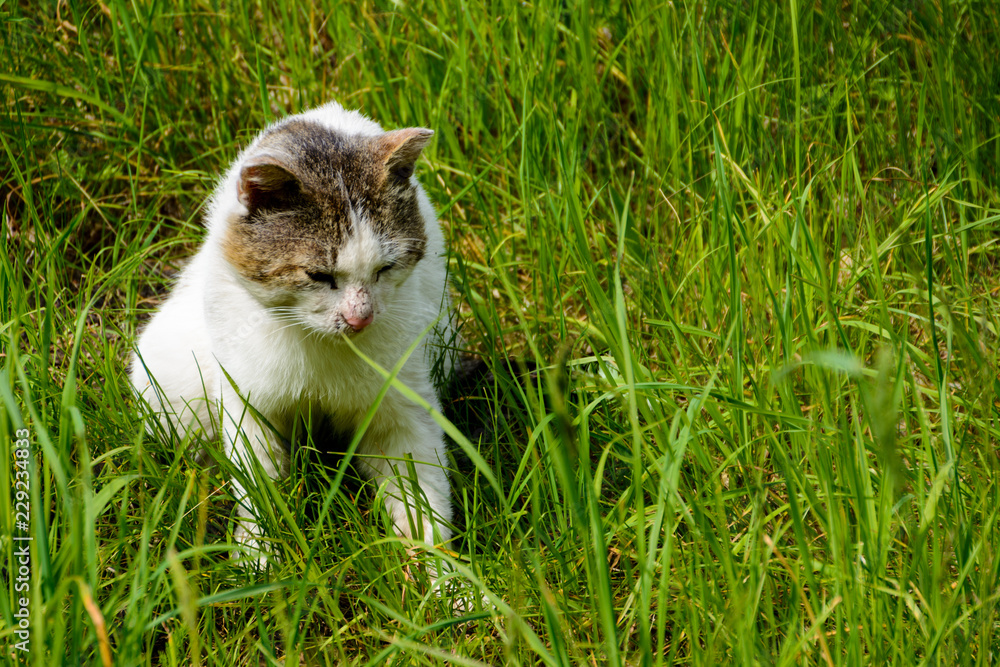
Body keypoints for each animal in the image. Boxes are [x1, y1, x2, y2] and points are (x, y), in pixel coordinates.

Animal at [133, 100, 458, 560]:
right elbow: (258, 488)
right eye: (318, 275)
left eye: (386, 268)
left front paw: (442, 572)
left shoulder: (402, 407)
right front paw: (258, 558)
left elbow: (422, 496)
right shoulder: (249, 403)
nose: (361, 318)